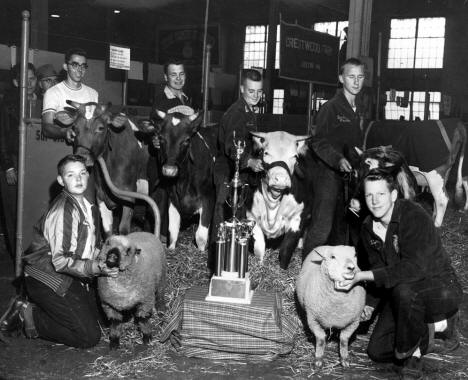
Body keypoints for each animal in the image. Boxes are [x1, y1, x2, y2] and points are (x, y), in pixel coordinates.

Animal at [247, 132, 312, 268]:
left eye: (295, 156)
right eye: (266, 153)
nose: (281, 179)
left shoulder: (297, 218)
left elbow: (286, 249)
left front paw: (282, 269)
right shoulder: (251, 216)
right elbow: (259, 248)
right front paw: (260, 265)